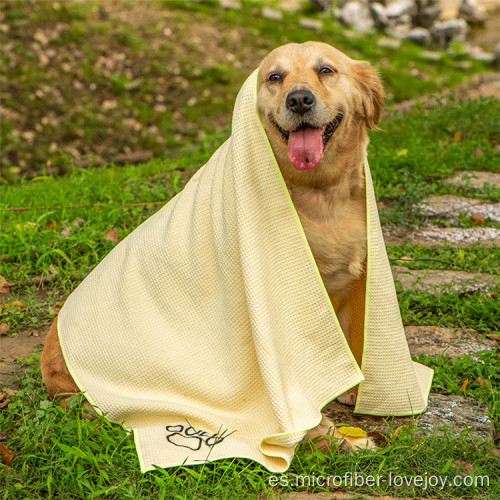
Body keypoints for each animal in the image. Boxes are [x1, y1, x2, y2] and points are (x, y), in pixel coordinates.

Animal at [41, 40, 382, 450]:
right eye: (275, 77)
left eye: (326, 70)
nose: (299, 99)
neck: (322, 196)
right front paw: (336, 438)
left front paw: (355, 388)